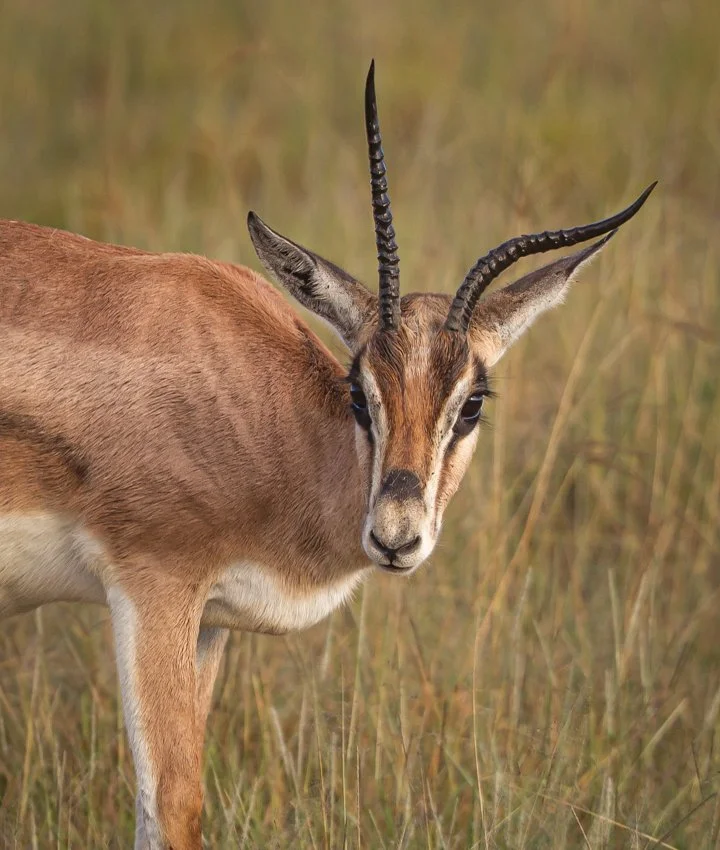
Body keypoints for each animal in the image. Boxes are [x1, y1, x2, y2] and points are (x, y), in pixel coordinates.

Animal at [0, 61, 654, 849]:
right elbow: (172, 803)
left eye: (471, 403)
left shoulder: (210, 622)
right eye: (357, 390)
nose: (396, 536)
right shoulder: (152, 588)